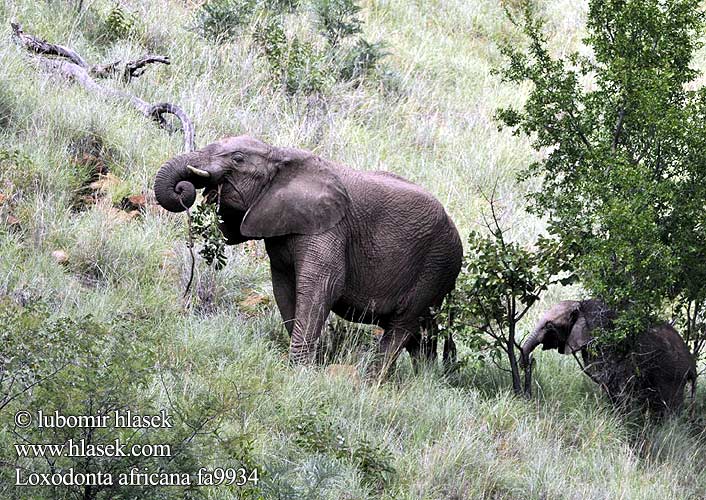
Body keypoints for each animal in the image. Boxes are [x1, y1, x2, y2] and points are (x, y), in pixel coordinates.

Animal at [154, 136, 462, 376]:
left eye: (238, 159)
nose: (184, 188)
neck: (279, 154)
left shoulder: (330, 228)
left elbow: (321, 286)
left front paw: (299, 370)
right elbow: (284, 288)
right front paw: (309, 363)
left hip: (436, 265)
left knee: (402, 325)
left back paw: (372, 381)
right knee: (419, 333)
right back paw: (421, 380)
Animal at [520, 300, 696, 414]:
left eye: (549, 326)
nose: (527, 363)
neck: (582, 305)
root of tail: (692, 365)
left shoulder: (604, 342)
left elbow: (611, 380)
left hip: (671, 375)